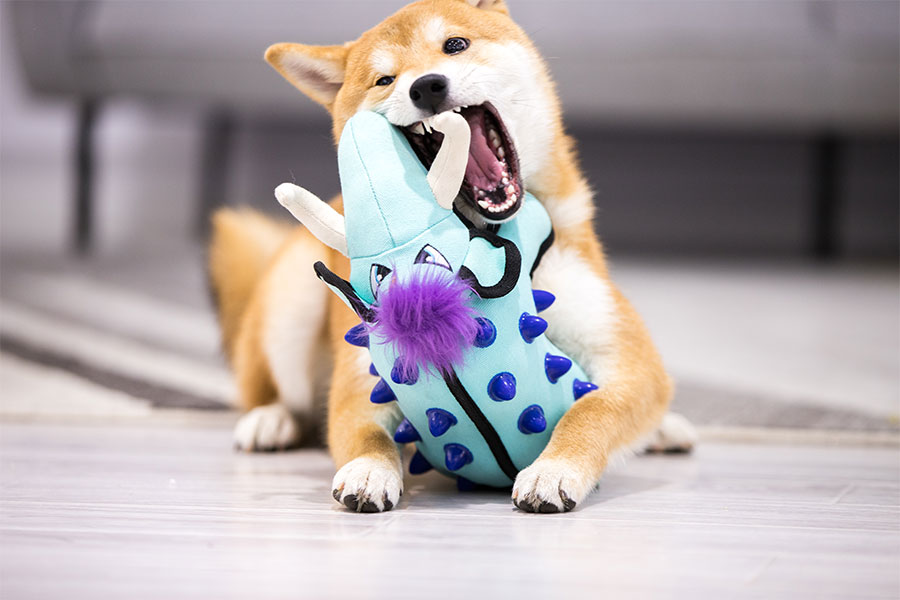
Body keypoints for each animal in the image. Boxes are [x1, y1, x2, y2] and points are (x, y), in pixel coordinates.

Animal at [209, 0, 696, 513]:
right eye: (384, 79)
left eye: (455, 45)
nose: (426, 86)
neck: (489, 236)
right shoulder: (363, 376)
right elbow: (363, 431)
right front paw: (369, 468)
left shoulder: (627, 360)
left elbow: (593, 408)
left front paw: (555, 467)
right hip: (290, 302)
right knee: (280, 395)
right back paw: (272, 419)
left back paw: (666, 429)